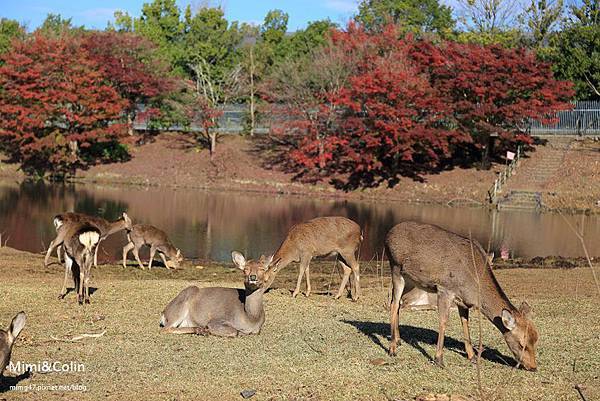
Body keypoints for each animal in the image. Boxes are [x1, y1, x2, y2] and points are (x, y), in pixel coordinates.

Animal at [386, 220, 540, 370]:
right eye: (522, 344)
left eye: (536, 339)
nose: (533, 367)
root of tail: (388, 234)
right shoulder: (445, 289)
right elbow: (443, 321)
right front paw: (439, 360)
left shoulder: (464, 301)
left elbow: (465, 323)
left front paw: (472, 356)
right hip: (396, 267)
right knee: (393, 304)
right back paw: (392, 348)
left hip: (411, 280)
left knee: (398, 302)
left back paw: (398, 340)